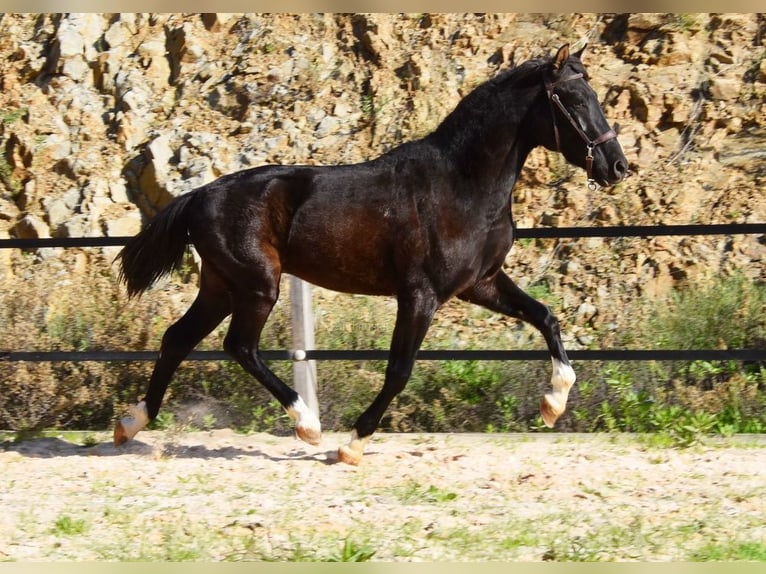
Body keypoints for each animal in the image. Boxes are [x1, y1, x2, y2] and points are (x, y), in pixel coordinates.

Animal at [115, 46, 632, 468]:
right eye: (575, 98)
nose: (618, 167)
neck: (463, 185)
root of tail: (200, 195)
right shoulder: (420, 295)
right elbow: (399, 370)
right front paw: (352, 445)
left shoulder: (479, 283)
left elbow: (546, 316)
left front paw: (554, 403)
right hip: (257, 285)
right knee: (239, 346)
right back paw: (307, 424)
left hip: (222, 286)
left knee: (178, 338)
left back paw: (131, 423)